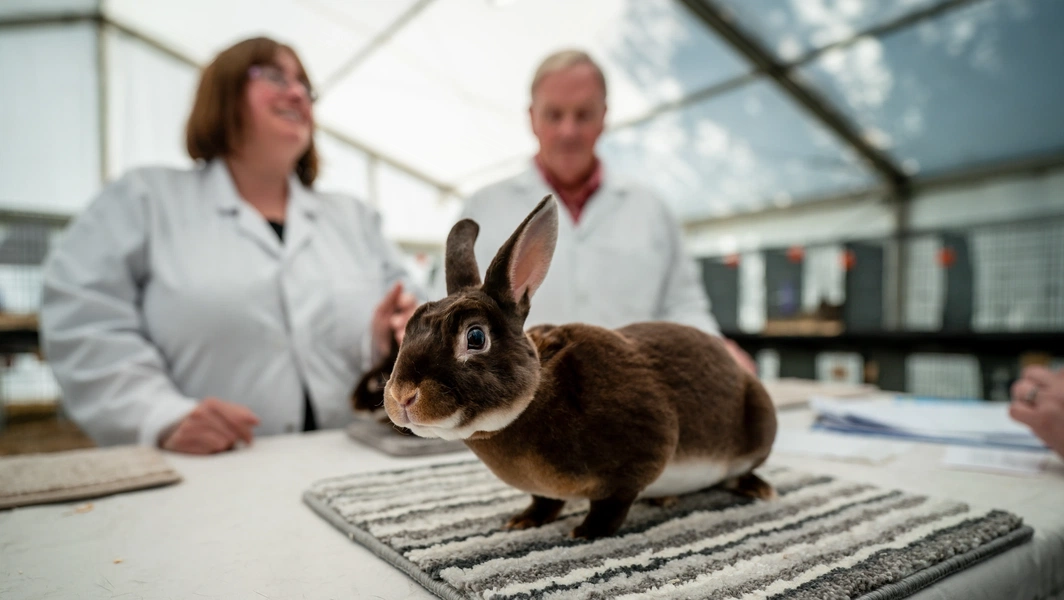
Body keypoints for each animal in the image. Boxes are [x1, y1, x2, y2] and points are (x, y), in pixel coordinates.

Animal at [383, 195, 777, 539]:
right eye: (409, 326)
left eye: (476, 337)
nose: (402, 396)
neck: (534, 396)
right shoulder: (546, 489)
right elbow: (544, 502)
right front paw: (524, 520)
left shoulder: (642, 454)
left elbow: (613, 504)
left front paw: (586, 532)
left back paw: (758, 490)